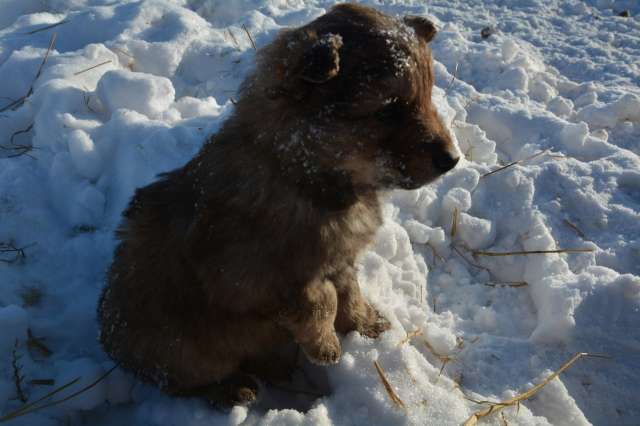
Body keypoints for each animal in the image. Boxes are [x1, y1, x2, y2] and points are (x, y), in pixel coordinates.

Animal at [99, 5, 460, 408]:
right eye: (387, 110)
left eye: (428, 94)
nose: (451, 159)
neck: (303, 177)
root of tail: (112, 346)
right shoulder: (245, 274)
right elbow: (320, 297)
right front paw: (326, 347)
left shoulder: (341, 257)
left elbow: (349, 290)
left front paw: (367, 325)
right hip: (180, 350)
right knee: (183, 381)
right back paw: (235, 388)